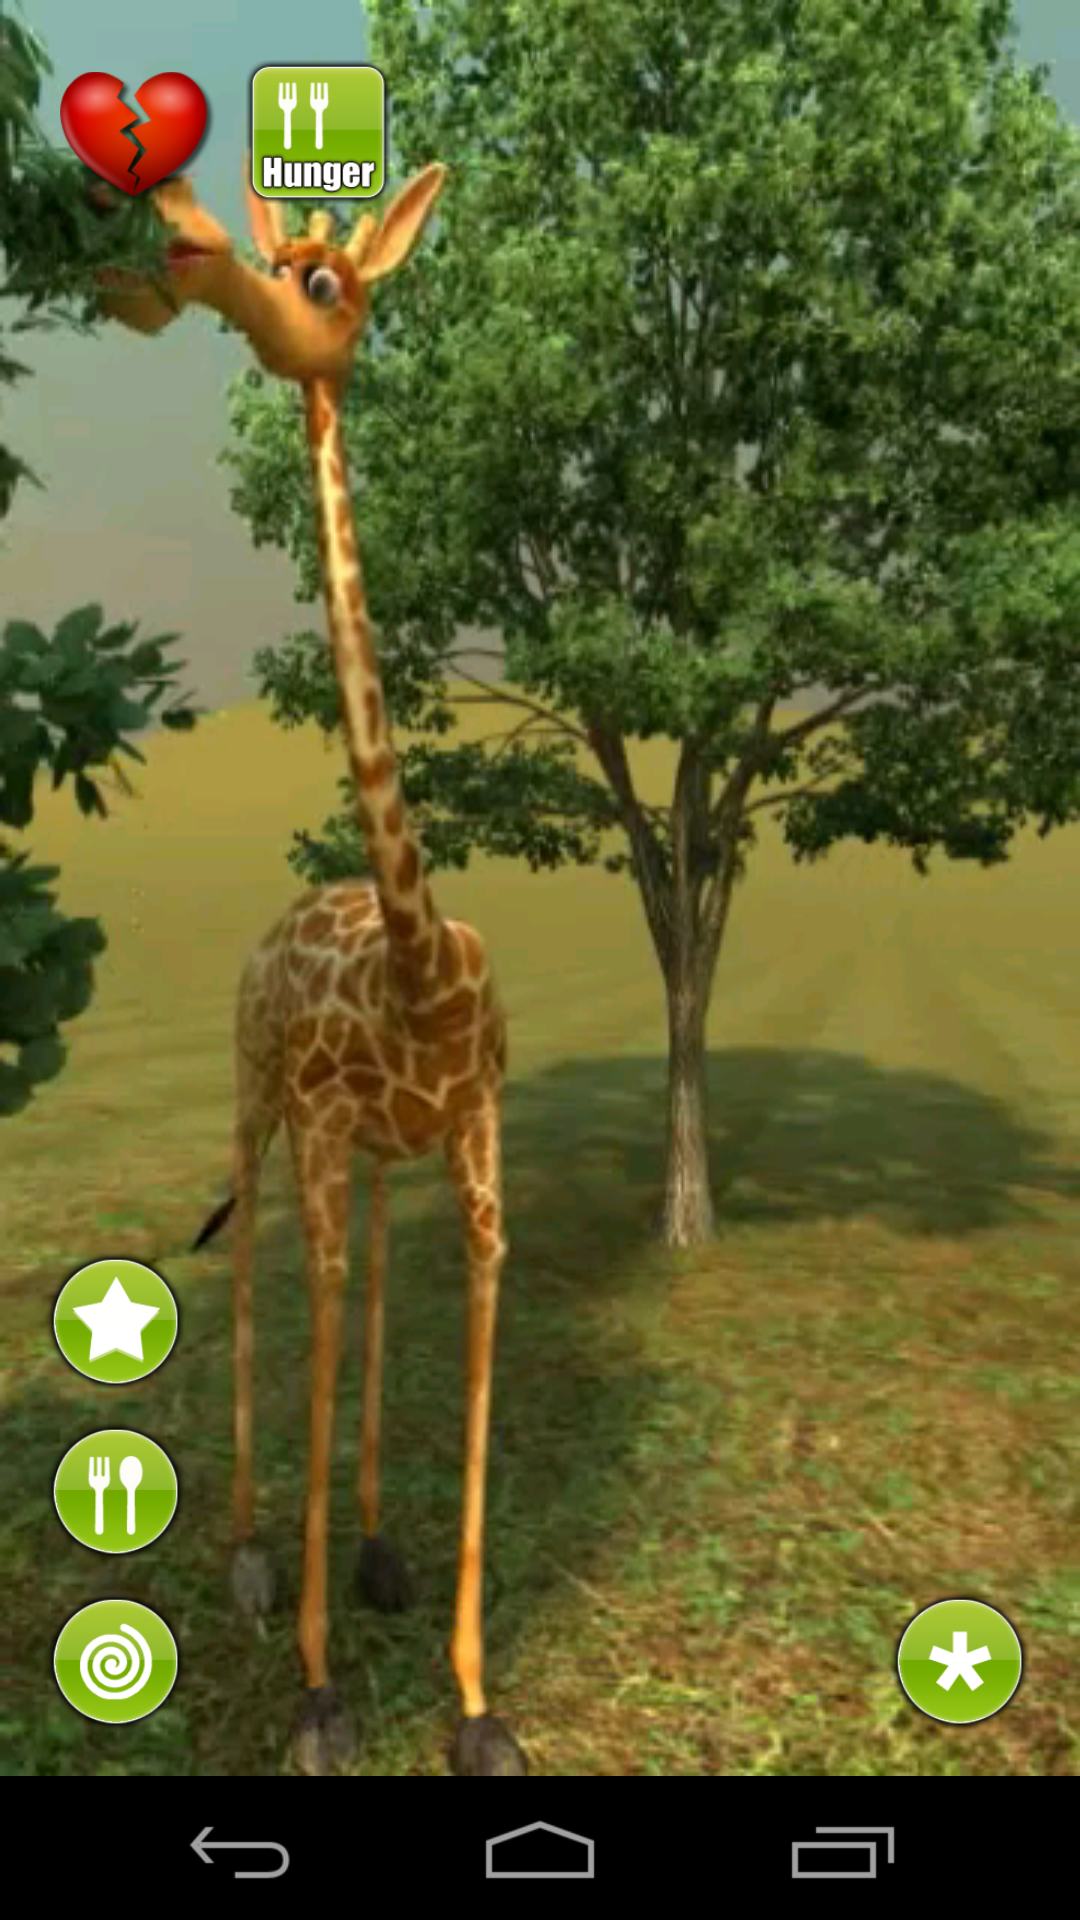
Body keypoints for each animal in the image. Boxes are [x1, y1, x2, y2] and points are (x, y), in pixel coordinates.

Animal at [96, 167, 527, 1777]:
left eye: (327, 281)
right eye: (287, 267)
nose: (187, 262)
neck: (417, 962)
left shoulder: (472, 1140)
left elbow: (454, 1330)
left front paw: (475, 1706)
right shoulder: (336, 1122)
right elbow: (321, 1319)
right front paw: (322, 1692)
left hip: (373, 1152)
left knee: (368, 1282)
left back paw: (372, 1540)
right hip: (258, 1098)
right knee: (260, 1263)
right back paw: (243, 1550)